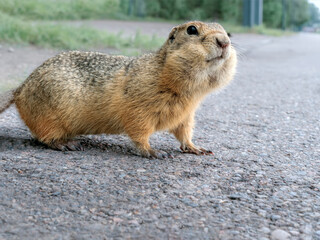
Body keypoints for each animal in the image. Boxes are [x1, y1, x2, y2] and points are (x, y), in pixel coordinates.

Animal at [0, 21, 238, 158]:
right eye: (192, 30)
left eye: (228, 32)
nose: (224, 42)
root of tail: (20, 89)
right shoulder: (139, 106)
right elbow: (139, 130)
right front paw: (153, 151)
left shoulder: (187, 114)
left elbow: (184, 132)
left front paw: (195, 147)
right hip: (48, 114)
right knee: (43, 137)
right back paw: (66, 144)